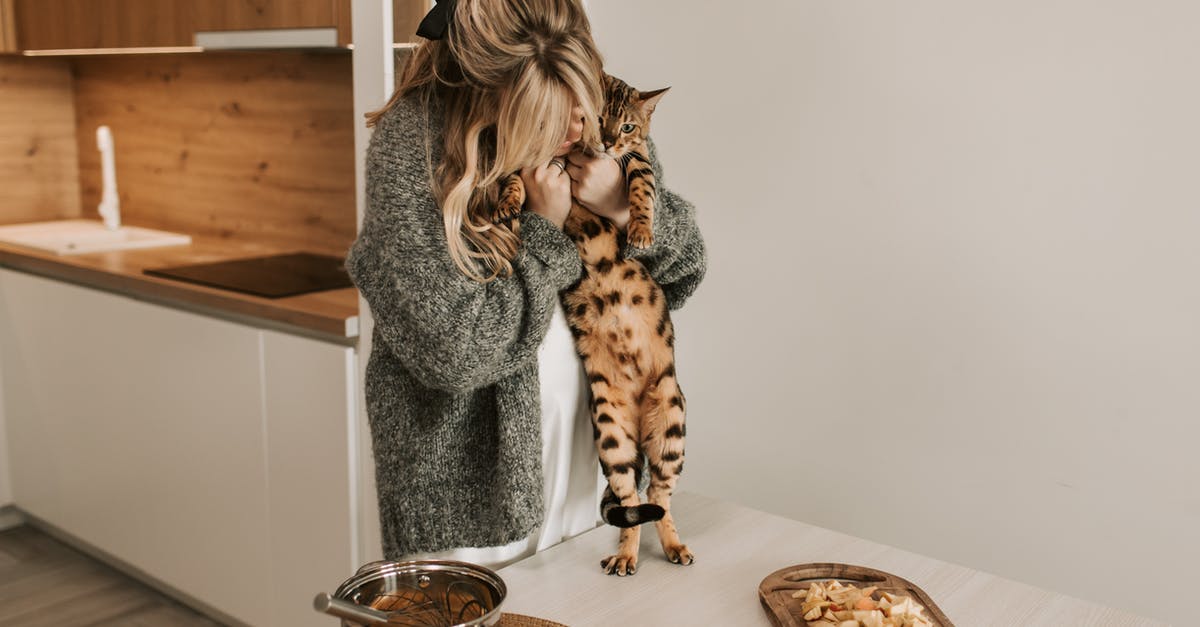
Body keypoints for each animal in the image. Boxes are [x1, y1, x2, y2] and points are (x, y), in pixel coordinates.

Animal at [492, 72, 691, 571]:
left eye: (628, 127)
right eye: (597, 118)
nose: (607, 141)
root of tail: (639, 423)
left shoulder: (637, 162)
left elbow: (641, 190)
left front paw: (641, 229)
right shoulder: (532, 162)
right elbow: (513, 179)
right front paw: (507, 202)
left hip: (672, 428)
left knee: (660, 498)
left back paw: (675, 546)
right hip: (611, 435)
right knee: (633, 503)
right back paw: (625, 557)